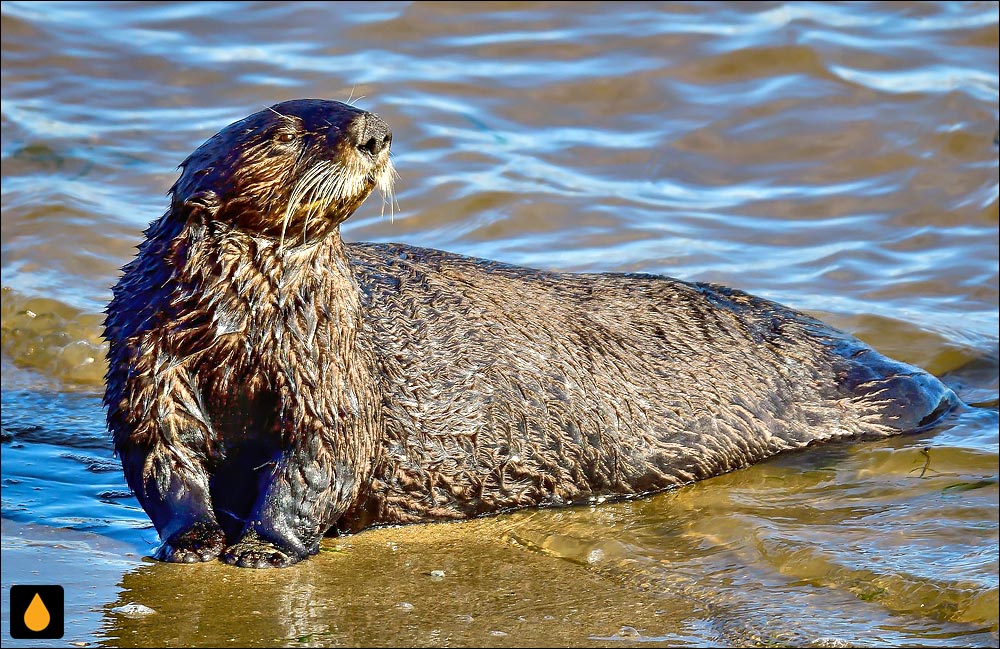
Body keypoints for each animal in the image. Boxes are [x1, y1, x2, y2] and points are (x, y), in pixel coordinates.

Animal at [105, 97, 956, 568]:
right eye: (287, 135)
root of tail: (927, 386)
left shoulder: (333, 374)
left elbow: (320, 460)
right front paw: (194, 539)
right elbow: (161, 455)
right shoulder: (151, 361)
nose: (374, 131)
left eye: (346, 112)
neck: (242, 342)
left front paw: (260, 546)